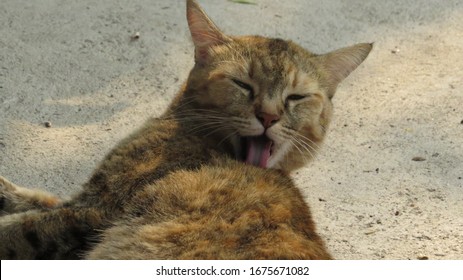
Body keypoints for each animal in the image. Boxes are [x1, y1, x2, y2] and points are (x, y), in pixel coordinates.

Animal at [0, 0, 370, 260]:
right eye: (243, 84)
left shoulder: (95, 209)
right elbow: (35, 199)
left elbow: (20, 229)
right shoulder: (83, 200)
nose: (268, 116)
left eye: (295, 97)